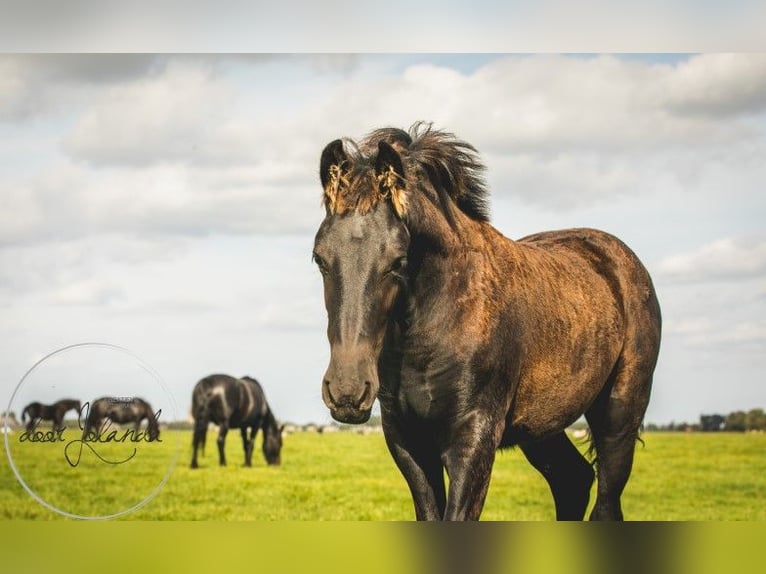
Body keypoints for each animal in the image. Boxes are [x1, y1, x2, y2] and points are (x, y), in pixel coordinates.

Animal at [312, 124, 660, 524]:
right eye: (319, 258)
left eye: (398, 260)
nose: (347, 391)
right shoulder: (407, 441)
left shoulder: (474, 439)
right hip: (540, 426)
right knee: (571, 478)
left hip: (619, 415)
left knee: (605, 500)